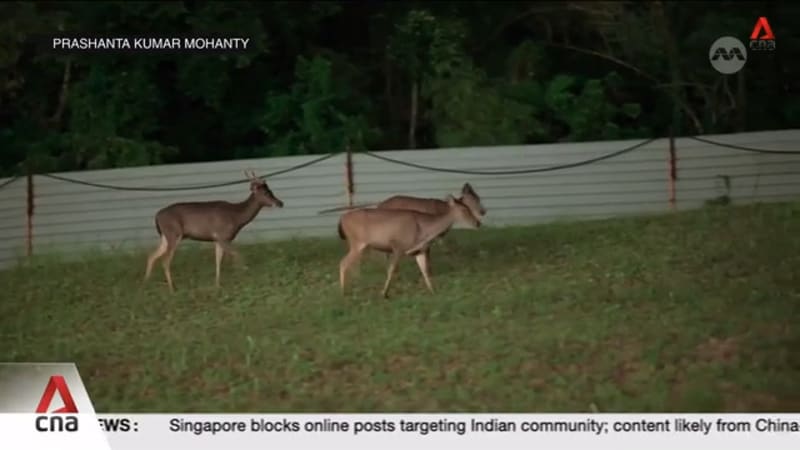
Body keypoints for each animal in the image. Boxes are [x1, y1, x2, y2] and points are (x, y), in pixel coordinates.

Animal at [143, 170, 284, 292]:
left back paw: (146, 282)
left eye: (271, 190)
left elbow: (218, 261)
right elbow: (238, 256)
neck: (237, 217)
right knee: (165, 261)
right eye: (266, 193)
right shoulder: (223, 236)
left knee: (152, 256)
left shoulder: (217, 239)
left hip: (165, 236)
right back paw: (172, 289)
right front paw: (244, 276)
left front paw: (217, 285)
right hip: (173, 233)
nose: (280, 203)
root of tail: (157, 216)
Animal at [336, 194, 481, 299]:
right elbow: (391, 270)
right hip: (356, 242)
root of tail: (341, 220)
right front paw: (384, 293)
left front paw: (433, 291)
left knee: (350, 264)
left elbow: (424, 270)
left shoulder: (419, 251)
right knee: (343, 263)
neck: (424, 230)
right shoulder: (397, 246)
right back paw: (343, 292)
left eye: (469, 207)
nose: (477, 223)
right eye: (464, 209)